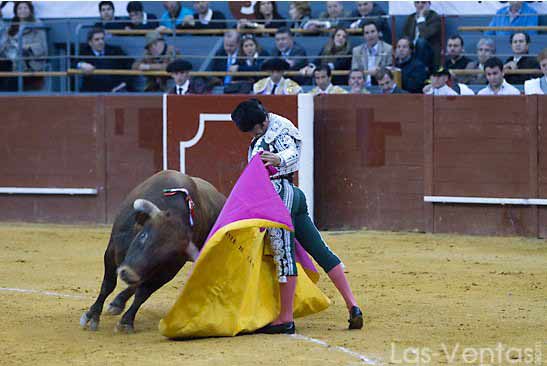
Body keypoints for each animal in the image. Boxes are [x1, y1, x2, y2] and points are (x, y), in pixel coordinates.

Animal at [80, 170, 226, 334]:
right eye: (143, 235)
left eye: (168, 255)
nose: (128, 273)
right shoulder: (111, 252)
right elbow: (108, 284)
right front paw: (92, 316)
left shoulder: (168, 270)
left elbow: (143, 293)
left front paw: (126, 322)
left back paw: (119, 302)